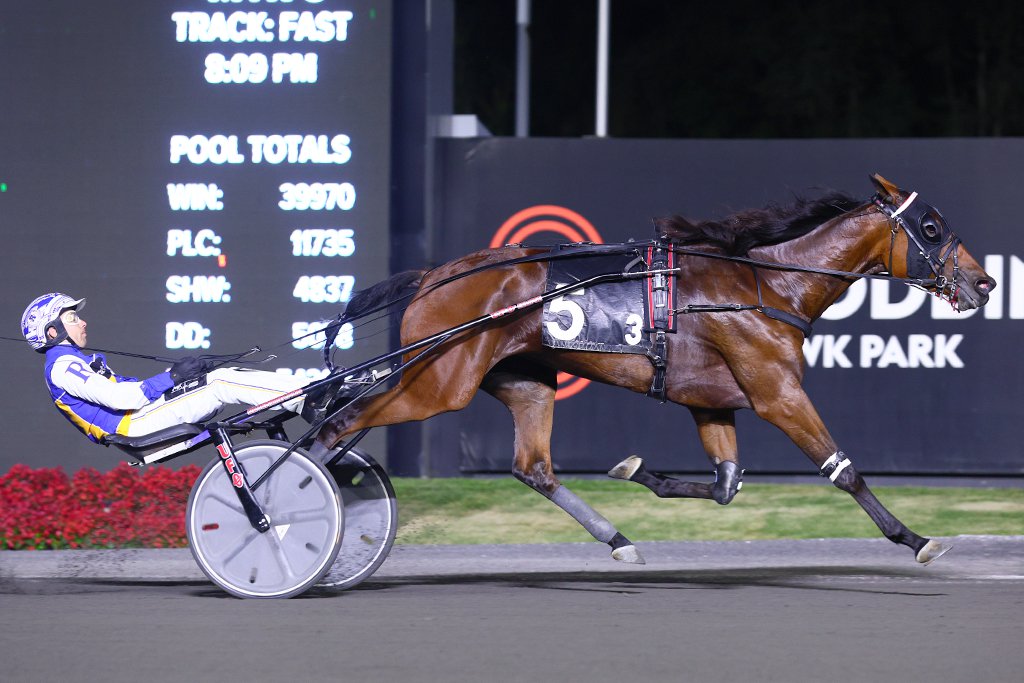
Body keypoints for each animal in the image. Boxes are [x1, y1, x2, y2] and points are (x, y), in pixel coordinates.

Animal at [313, 176, 991, 565]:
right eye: (932, 228)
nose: (983, 283)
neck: (767, 286)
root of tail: (435, 275)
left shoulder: (712, 401)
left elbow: (725, 483)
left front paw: (637, 469)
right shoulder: (777, 393)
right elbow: (843, 472)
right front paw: (915, 539)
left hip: (524, 381)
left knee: (534, 468)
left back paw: (617, 540)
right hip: (435, 382)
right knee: (334, 425)